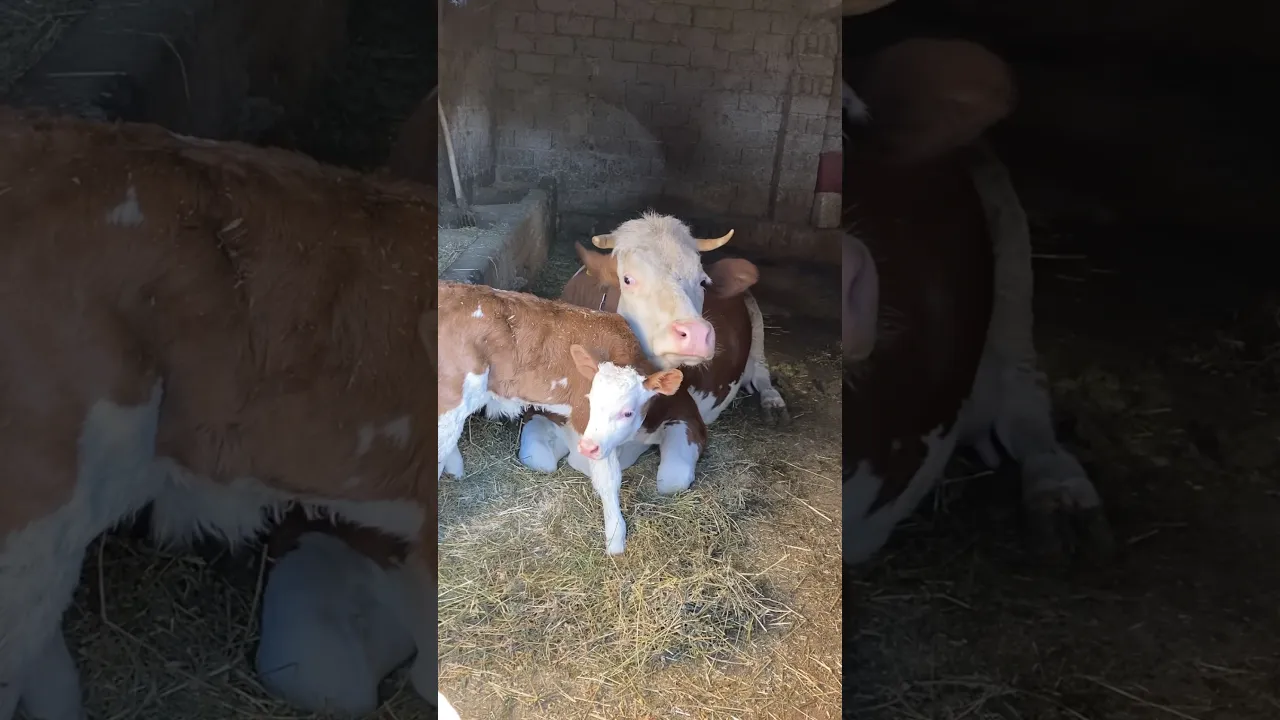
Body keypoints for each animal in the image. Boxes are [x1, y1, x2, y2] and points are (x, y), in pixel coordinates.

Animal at [517, 214, 788, 496]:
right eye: (627, 279)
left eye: (703, 281)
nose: (697, 333)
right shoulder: (540, 411)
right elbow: (537, 458)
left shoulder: (686, 416)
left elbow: (672, 479)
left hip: (756, 321)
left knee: (761, 372)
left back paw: (772, 402)